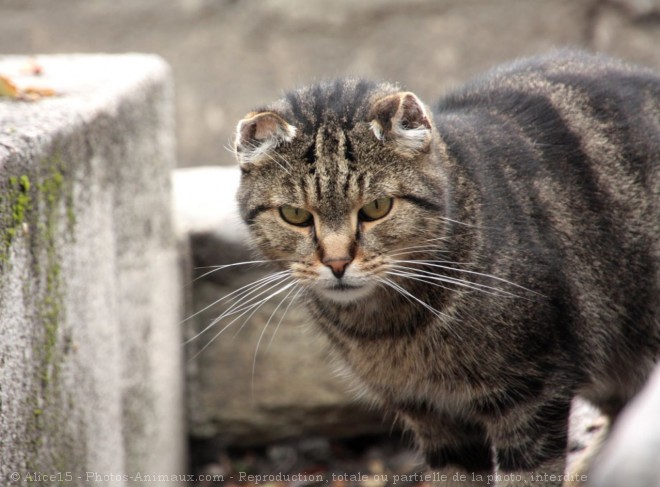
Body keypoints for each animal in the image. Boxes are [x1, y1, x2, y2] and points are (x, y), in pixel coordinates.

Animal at [229, 51, 656, 486]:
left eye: (376, 208)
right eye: (295, 215)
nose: (336, 262)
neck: (388, 331)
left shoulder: (533, 393)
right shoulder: (434, 417)